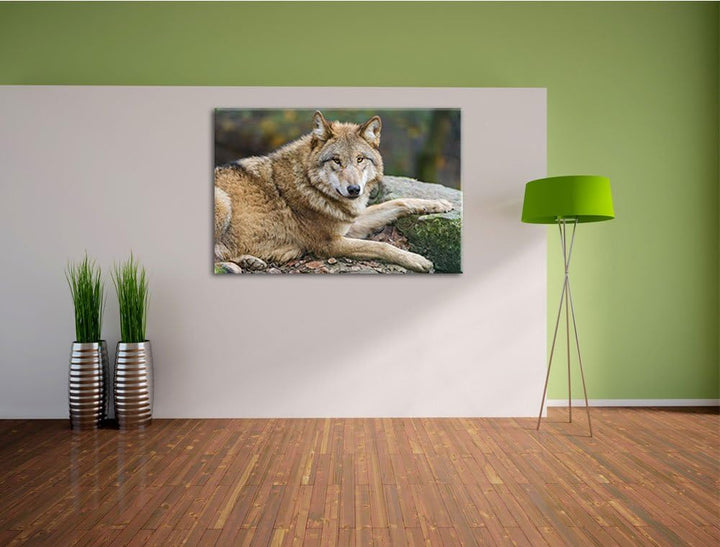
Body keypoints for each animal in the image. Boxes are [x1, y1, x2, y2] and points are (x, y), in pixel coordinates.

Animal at [214, 111, 453, 273]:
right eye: (336, 161)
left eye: (360, 159)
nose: (354, 190)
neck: (310, 185)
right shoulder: (330, 243)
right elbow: (382, 246)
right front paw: (417, 260)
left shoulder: (351, 224)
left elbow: (398, 202)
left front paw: (438, 204)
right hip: (223, 201)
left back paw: (250, 261)